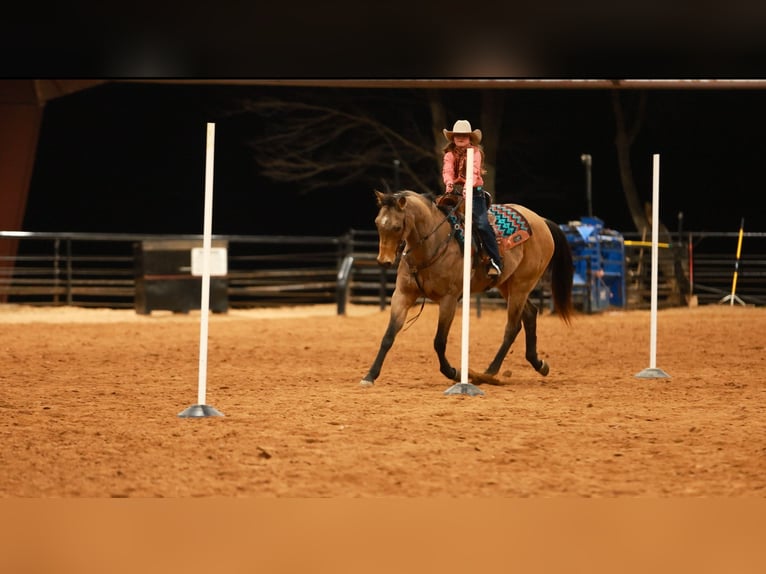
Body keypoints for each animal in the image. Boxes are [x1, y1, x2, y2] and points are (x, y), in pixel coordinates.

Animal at [360, 189, 574, 387]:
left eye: (397, 227)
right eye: (377, 223)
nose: (384, 261)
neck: (433, 244)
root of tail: (541, 221)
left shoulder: (449, 299)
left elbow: (439, 341)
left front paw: (453, 372)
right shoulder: (403, 295)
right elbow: (389, 336)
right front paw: (370, 376)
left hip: (522, 284)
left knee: (512, 327)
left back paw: (488, 372)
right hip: (507, 285)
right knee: (530, 314)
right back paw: (538, 364)